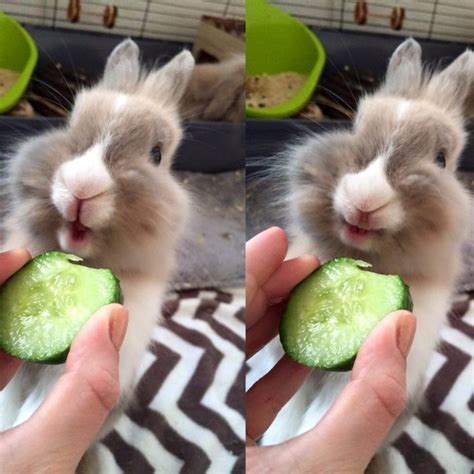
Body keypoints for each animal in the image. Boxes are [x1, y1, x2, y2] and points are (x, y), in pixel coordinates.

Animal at [250, 39, 472, 468]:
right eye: (355, 125)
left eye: (441, 159)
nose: (365, 199)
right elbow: (289, 411)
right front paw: (275, 440)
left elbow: (317, 419)